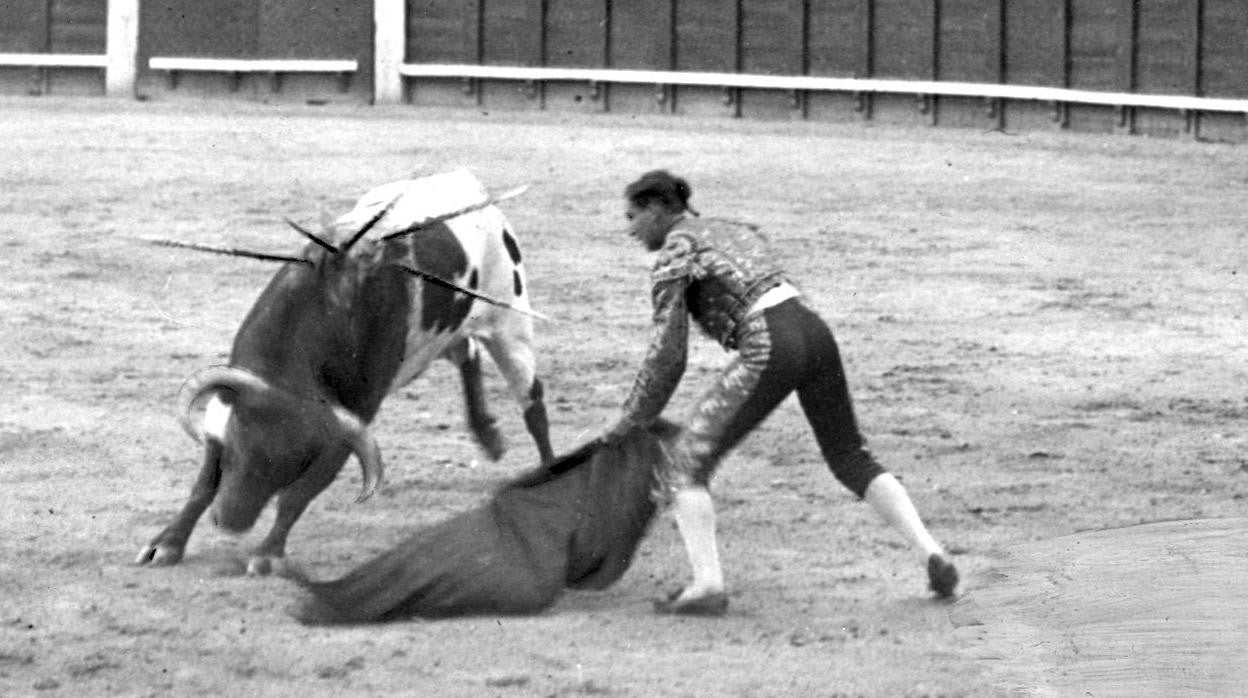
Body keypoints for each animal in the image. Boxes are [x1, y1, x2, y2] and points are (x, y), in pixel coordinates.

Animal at [132, 171, 556, 579]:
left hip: (510, 324)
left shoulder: (352, 421)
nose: (231, 522)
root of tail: (470, 184)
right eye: (235, 452)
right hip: (448, 334)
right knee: (467, 354)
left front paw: (267, 554)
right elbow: (203, 485)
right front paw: (166, 544)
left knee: (532, 401)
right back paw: (489, 436)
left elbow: (298, 496)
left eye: (291, 469)